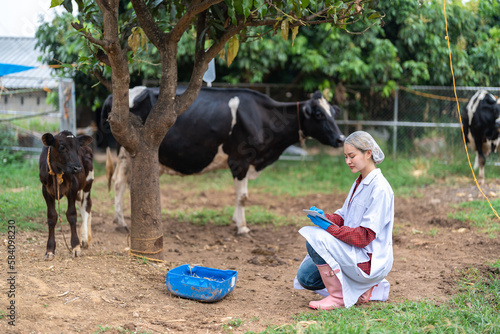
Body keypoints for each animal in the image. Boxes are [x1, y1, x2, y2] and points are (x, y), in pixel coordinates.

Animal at [39, 130, 94, 260]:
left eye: (78, 148)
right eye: (62, 147)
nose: (78, 168)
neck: (57, 172)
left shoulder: (72, 188)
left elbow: (72, 215)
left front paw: (75, 247)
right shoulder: (45, 190)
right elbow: (52, 217)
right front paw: (50, 250)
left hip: (87, 184)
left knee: (87, 206)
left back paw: (84, 237)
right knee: (83, 207)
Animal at [101, 86, 344, 234]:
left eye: (334, 113)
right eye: (319, 115)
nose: (341, 139)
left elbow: (241, 196)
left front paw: (237, 222)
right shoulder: (240, 159)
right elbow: (243, 197)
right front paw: (242, 227)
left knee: (123, 183)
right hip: (126, 151)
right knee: (120, 183)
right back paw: (121, 221)